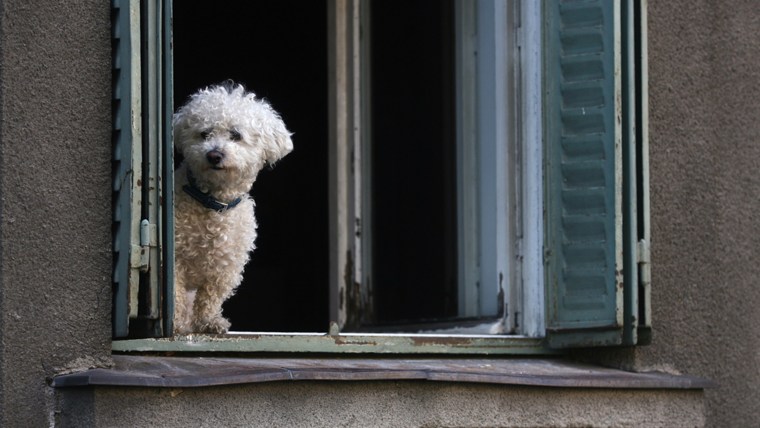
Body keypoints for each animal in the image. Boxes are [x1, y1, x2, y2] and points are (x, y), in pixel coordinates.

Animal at [174, 83, 292, 334]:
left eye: (236, 135)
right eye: (204, 134)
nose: (214, 154)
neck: (214, 203)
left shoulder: (226, 266)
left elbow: (210, 296)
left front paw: (208, 321)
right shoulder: (175, 259)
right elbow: (175, 291)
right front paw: (176, 324)